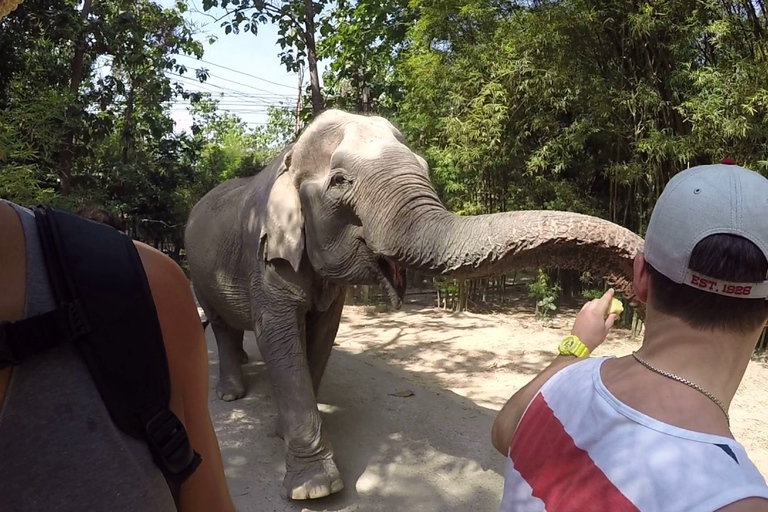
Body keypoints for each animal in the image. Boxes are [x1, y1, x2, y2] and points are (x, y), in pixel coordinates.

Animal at [183, 109, 644, 500]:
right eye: (339, 182)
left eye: (423, 168)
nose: (633, 284)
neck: (289, 157)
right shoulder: (265, 258)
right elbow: (280, 336)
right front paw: (314, 489)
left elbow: (322, 333)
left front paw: (282, 431)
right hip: (200, 274)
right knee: (220, 324)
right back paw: (231, 394)